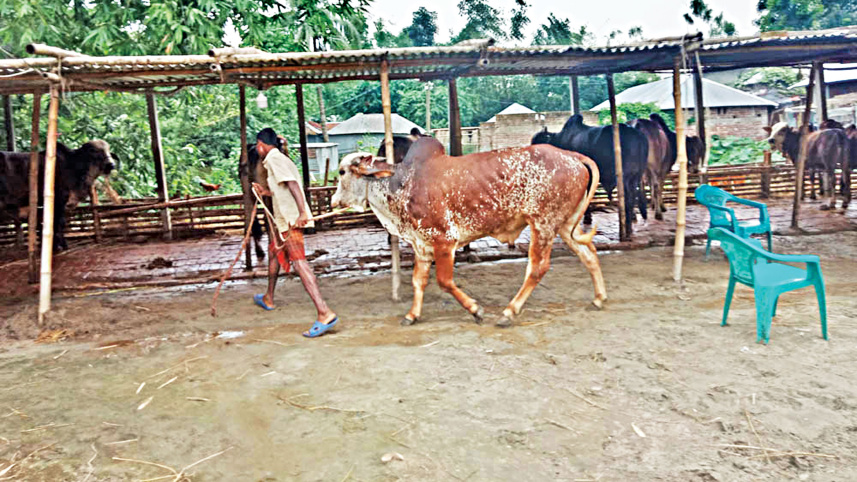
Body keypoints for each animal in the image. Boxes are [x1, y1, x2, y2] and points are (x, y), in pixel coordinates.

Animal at [331, 137, 607, 327]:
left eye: (342, 171)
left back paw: (509, 312)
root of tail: (572, 156)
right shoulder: (422, 245)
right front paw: (412, 315)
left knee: (538, 267)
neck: (403, 184)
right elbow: (418, 281)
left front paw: (476, 310)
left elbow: (444, 281)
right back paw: (599, 298)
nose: (333, 201)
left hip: (543, 224)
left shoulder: (444, 240)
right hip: (565, 225)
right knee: (589, 254)